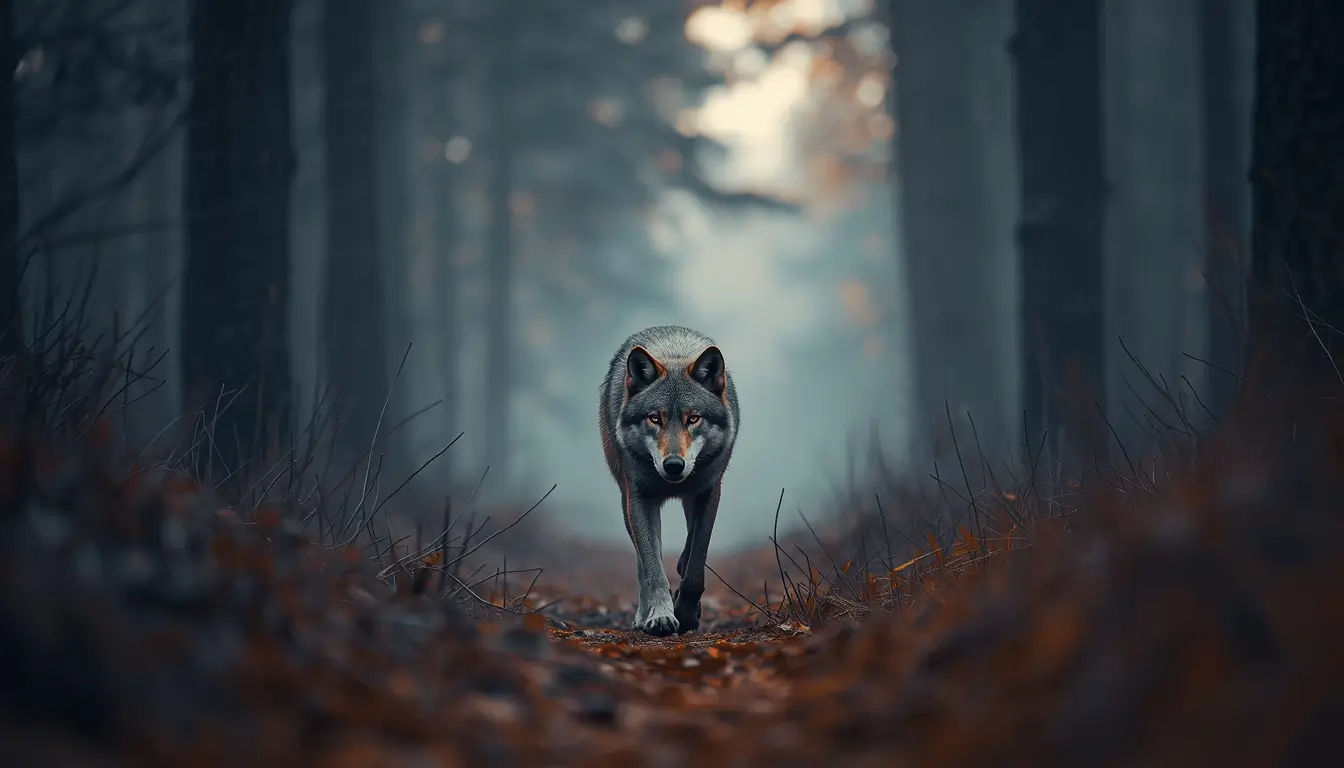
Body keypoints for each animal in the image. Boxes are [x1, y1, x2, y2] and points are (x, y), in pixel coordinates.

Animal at [598, 325, 740, 636]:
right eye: (655, 418)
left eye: (693, 418)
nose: (674, 465)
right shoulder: (640, 499)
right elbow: (653, 569)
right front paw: (662, 616)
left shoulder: (709, 493)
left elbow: (696, 567)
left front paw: (686, 614)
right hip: (627, 505)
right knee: (643, 565)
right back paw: (644, 615)